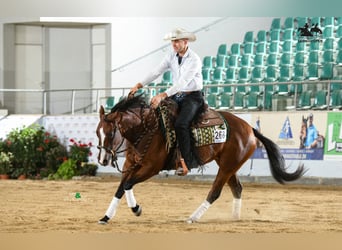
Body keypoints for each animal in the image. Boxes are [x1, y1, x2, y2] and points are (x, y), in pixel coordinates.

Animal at [97, 94, 306, 224]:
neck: (147, 130)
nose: (102, 160)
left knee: (215, 192)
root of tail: (249, 129)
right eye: (98, 132)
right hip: (228, 165)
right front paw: (106, 217)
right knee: (237, 188)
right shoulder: (131, 165)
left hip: (227, 166)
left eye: (110, 133)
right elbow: (120, 188)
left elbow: (127, 185)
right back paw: (235, 218)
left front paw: (136, 209)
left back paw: (193, 217)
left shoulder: (150, 168)